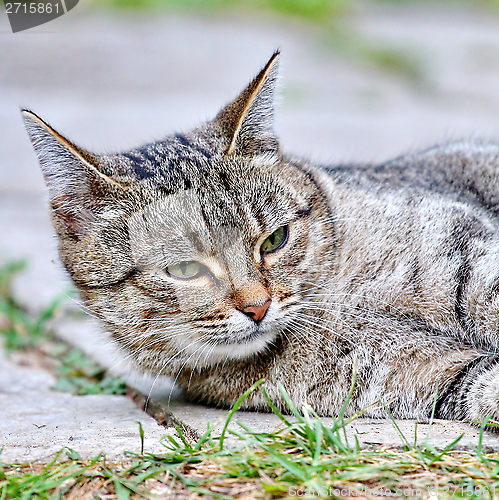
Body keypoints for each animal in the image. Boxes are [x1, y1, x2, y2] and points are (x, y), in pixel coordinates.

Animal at [22, 52, 499, 424]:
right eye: (184, 269)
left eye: (275, 240)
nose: (257, 306)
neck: (336, 296)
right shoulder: (417, 373)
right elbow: (481, 384)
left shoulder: (471, 257)